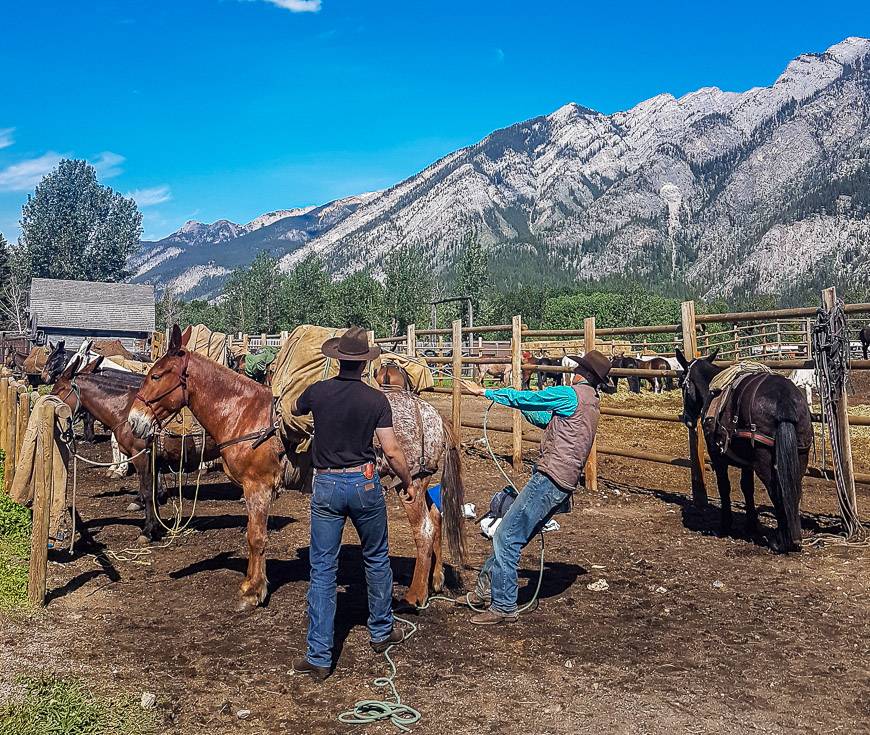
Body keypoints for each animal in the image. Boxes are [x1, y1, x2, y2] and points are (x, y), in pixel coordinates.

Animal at [127, 326, 470, 608]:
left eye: (156, 376)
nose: (134, 421)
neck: (243, 413)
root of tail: (432, 414)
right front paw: (253, 585)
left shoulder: (258, 488)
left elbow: (255, 537)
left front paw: (253, 591)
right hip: (420, 483)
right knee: (437, 520)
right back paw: (436, 581)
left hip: (409, 485)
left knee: (424, 530)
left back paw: (415, 595)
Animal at [676, 350, 816, 552]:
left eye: (682, 384)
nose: (687, 418)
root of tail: (784, 399)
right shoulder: (747, 463)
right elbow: (747, 487)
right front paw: (751, 524)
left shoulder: (717, 456)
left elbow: (724, 486)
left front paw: (726, 524)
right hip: (799, 456)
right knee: (793, 490)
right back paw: (794, 537)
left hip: (764, 462)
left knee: (777, 492)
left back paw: (783, 541)